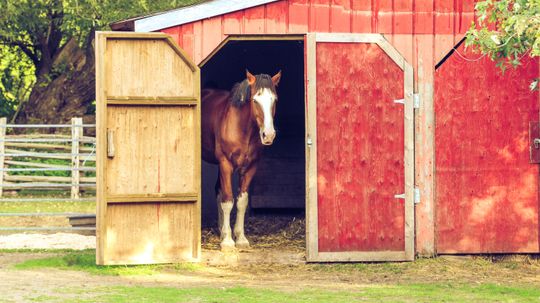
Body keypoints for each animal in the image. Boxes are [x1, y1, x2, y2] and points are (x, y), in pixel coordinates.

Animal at [201, 70, 282, 251]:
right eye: (255, 100)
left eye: (274, 99)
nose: (268, 135)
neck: (242, 128)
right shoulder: (226, 164)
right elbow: (228, 200)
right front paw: (228, 241)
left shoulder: (250, 167)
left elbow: (241, 201)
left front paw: (240, 238)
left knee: (218, 191)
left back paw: (222, 230)